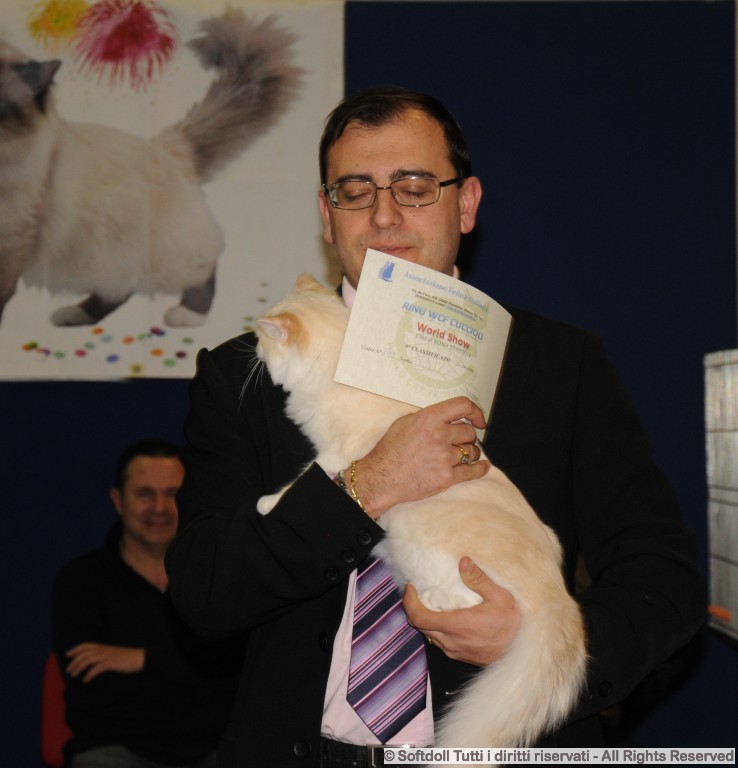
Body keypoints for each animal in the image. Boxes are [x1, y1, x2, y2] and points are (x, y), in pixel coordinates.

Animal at [0, 9, 299, 327]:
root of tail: (170, 144)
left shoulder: (12, 238)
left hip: (157, 256)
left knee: (205, 267)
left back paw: (187, 315)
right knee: (119, 291)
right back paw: (75, 314)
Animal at [254, 274, 587, 765]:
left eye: (262, 339)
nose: (254, 351)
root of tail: (559, 596)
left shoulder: (336, 452)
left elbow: (305, 479)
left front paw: (269, 502)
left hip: (434, 549)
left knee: (466, 598)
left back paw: (428, 600)